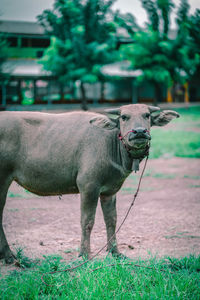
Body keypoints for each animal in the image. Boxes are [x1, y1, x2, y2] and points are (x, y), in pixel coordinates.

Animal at [0, 103, 179, 262]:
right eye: (124, 117)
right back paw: (9, 256)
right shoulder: (88, 187)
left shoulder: (109, 191)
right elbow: (87, 221)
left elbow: (111, 220)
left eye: (146, 115)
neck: (110, 145)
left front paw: (115, 252)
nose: (139, 131)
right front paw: (85, 254)